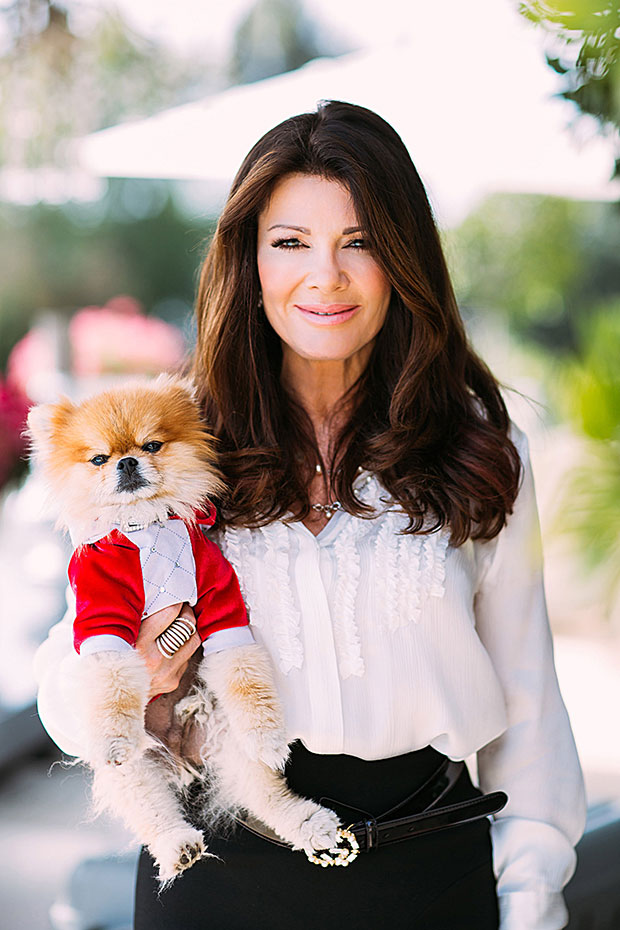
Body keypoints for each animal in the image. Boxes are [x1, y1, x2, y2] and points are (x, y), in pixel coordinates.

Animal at [27, 374, 340, 880]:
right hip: (138, 768)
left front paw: (269, 735)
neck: (148, 526)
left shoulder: (222, 605)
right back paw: (177, 845)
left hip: (226, 739)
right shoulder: (102, 619)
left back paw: (307, 822)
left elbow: (247, 678)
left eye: (152, 445)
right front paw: (112, 734)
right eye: (98, 459)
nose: (127, 462)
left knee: (262, 789)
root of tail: (180, 751)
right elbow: (112, 683)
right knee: (150, 805)